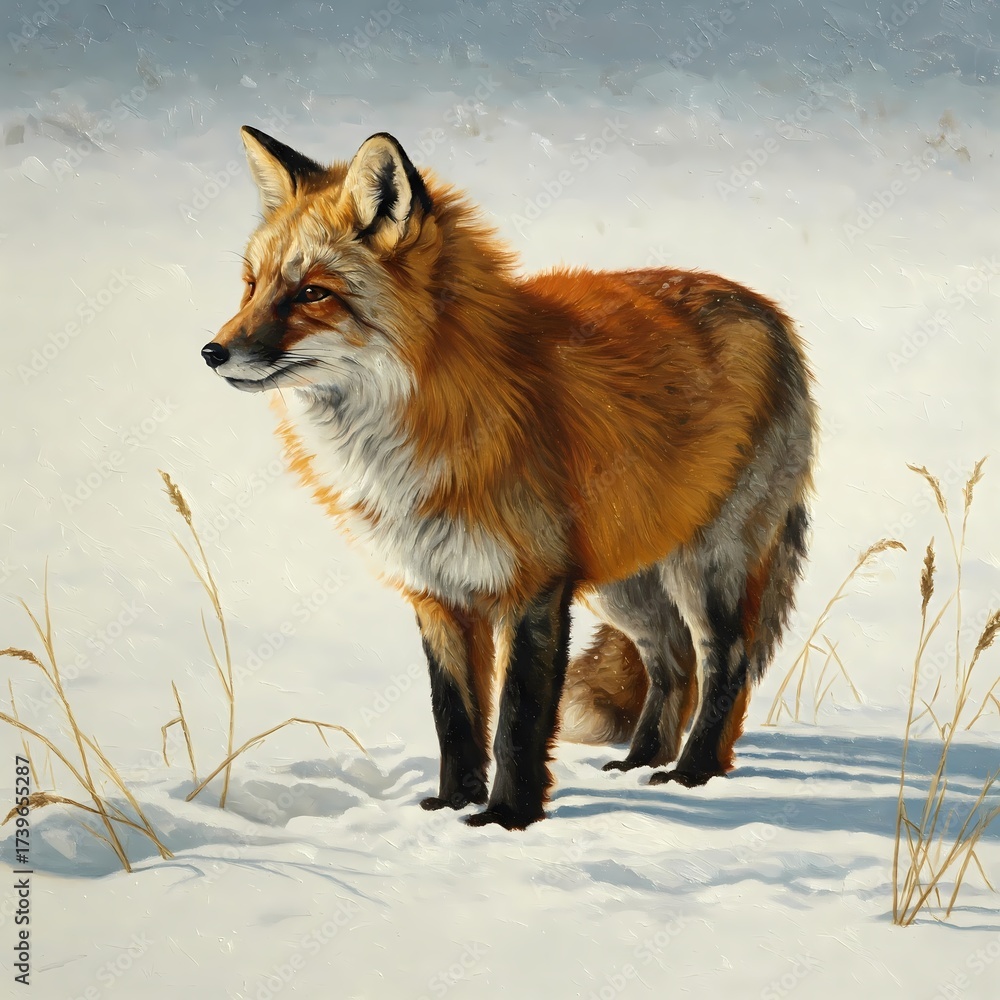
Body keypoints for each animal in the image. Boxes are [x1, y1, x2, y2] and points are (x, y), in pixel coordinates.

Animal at [201, 126, 817, 830]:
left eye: (312, 293)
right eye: (251, 285)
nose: (213, 352)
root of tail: (766, 310)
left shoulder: (534, 584)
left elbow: (517, 721)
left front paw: (506, 818)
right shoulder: (436, 591)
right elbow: (455, 717)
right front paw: (452, 803)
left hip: (707, 564)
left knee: (725, 661)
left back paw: (694, 772)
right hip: (624, 582)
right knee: (671, 660)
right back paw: (642, 761)